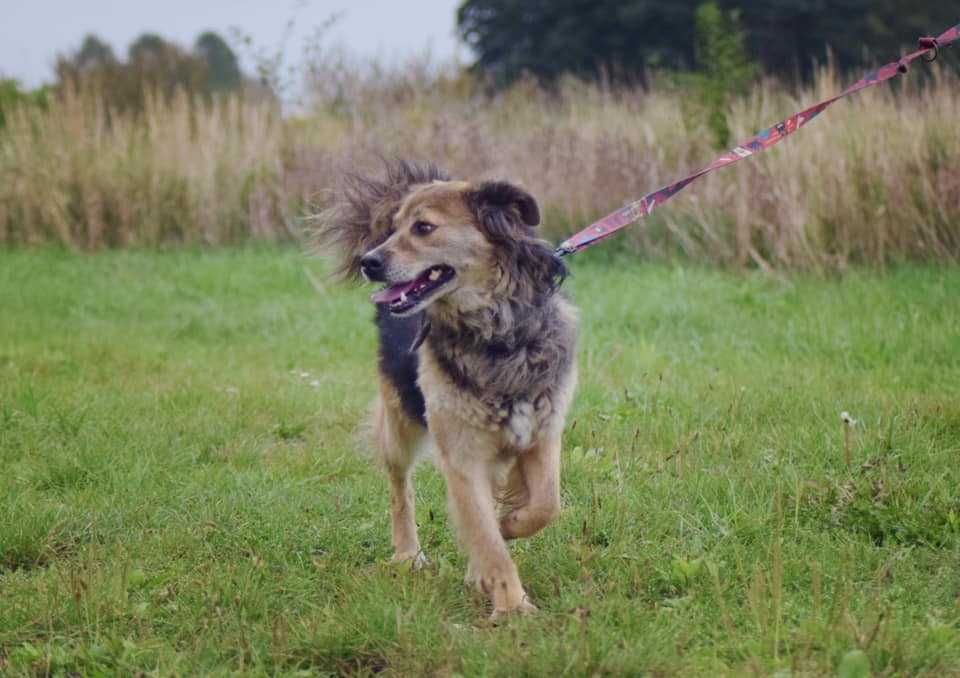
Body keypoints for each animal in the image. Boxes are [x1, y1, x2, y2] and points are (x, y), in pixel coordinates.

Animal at [316, 162, 576, 620]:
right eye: (395, 228)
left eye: (423, 228)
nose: (369, 261)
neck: (496, 336)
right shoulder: (461, 454)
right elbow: (487, 536)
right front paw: (511, 607)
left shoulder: (542, 432)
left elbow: (545, 504)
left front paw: (510, 525)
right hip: (399, 423)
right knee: (399, 487)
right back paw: (408, 554)